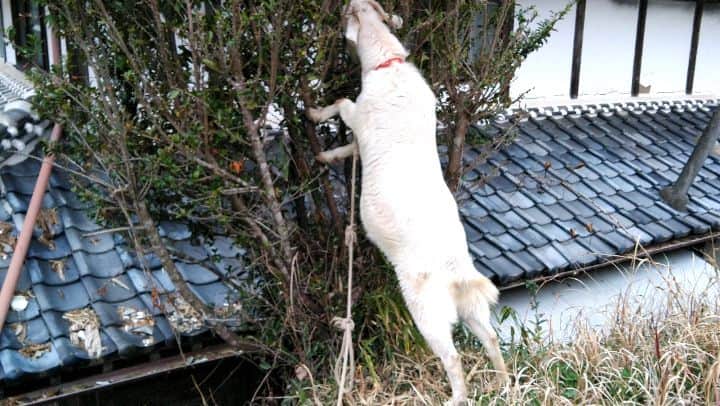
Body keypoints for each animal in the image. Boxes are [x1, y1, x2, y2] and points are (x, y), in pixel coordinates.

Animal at [308, 1, 508, 403]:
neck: (389, 64)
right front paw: (327, 156)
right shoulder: (362, 136)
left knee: (453, 357)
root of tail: (457, 271)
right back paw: (505, 383)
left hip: (426, 308)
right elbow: (349, 147)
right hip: (471, 306)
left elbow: (341, 103)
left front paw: (314, 114)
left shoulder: (359, 114)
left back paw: (456, 397)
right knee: (491, 339)